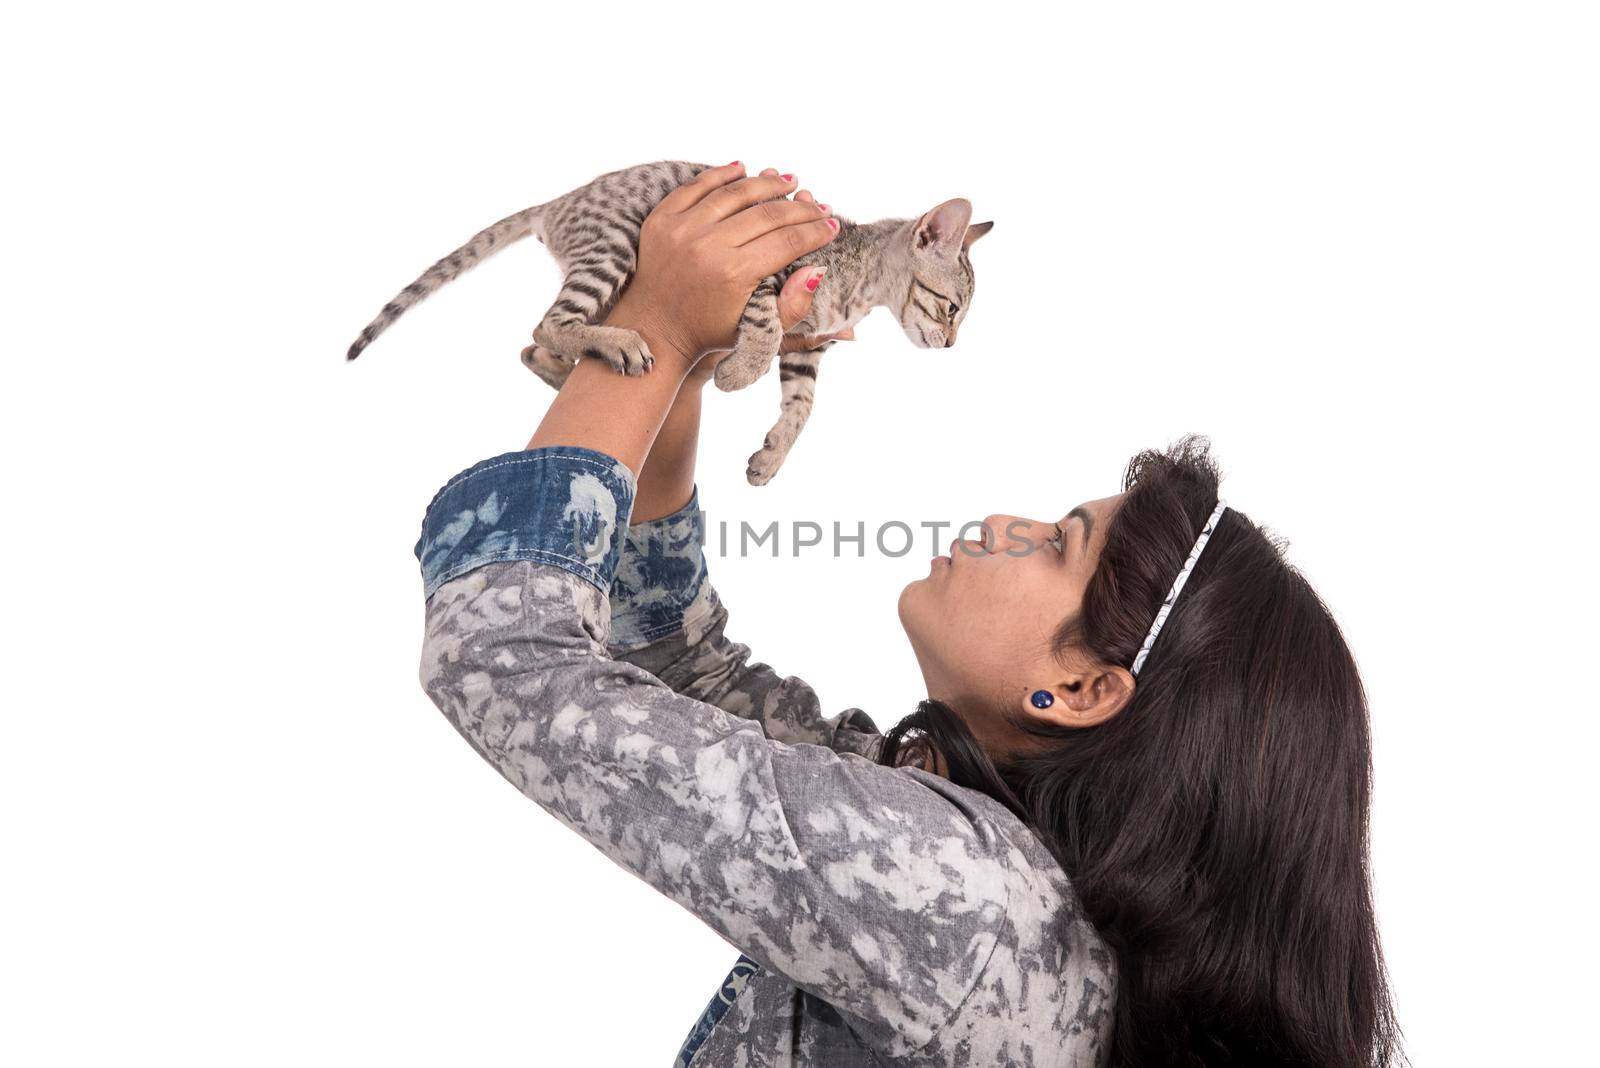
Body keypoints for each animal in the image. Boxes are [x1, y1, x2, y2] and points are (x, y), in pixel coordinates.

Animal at [353, 159, 985, 482]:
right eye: (953, 309)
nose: (953, 346)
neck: (861, 282)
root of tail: (556, 204)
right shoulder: (768, 280)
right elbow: (765, 330)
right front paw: (736, 373)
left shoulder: (808, 348)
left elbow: (803, 407)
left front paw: (771, 456)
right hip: (612, 249)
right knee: (545, 326)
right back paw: (617, 345)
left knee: (532, 347)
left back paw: (573, 368)